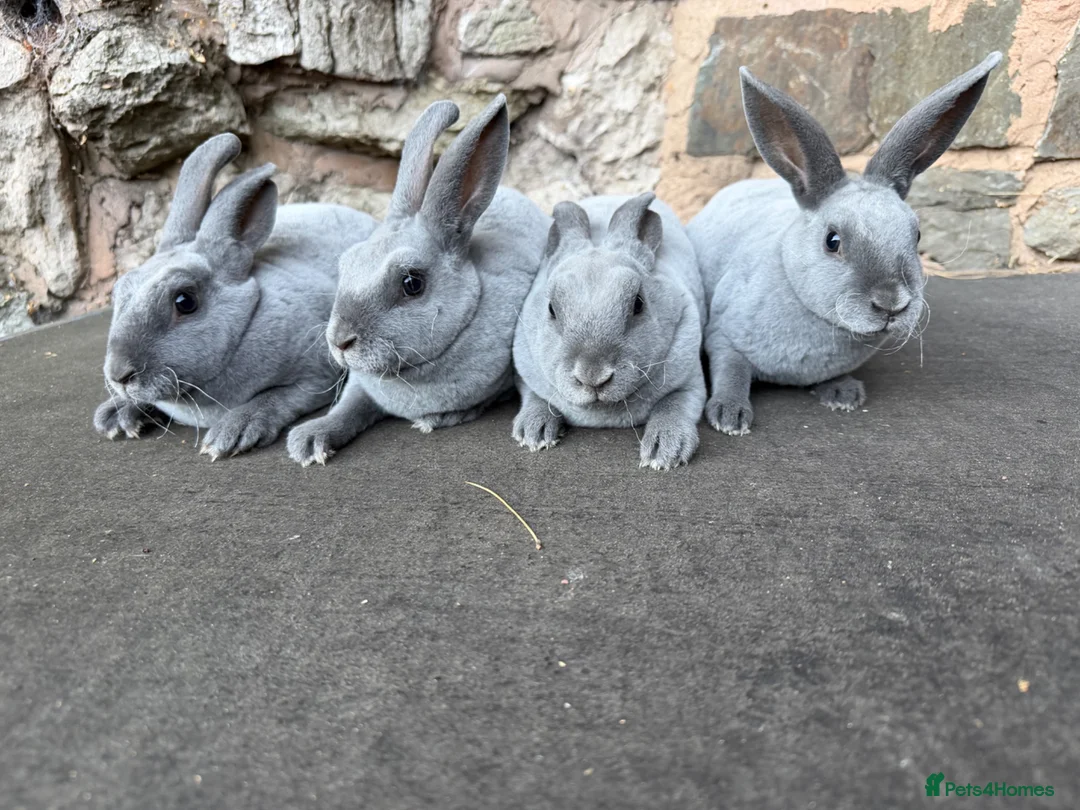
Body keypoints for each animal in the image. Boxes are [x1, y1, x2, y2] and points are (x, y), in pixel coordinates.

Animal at [93, 132, 379, 459]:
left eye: (184, 301)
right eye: (118, 292)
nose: (119, 375)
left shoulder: (316, 377)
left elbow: (275, 397)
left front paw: (233, 431)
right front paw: (116, 415)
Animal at [286, 94, 550, 466]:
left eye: (412, 283)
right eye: (346, 264)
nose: (340, 342)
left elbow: (531, 388)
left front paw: (533, 429)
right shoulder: (361, 386)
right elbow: (349, 407)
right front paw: (309, 441)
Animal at [512, 192, 707, 471]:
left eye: (638, 303)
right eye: (551, 309)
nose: (593, 377)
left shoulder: (691, 384)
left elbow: (673, 406)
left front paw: (663, 452)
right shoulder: (525, 375)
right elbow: (536, 398)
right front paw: (533, 433)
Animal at [686, 52, 1002, 435]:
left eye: (916, 235)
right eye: (832, 241)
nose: (892, 303)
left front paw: (843, 393)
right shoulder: (723, 337)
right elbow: (730, 371)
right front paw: (729, 415)